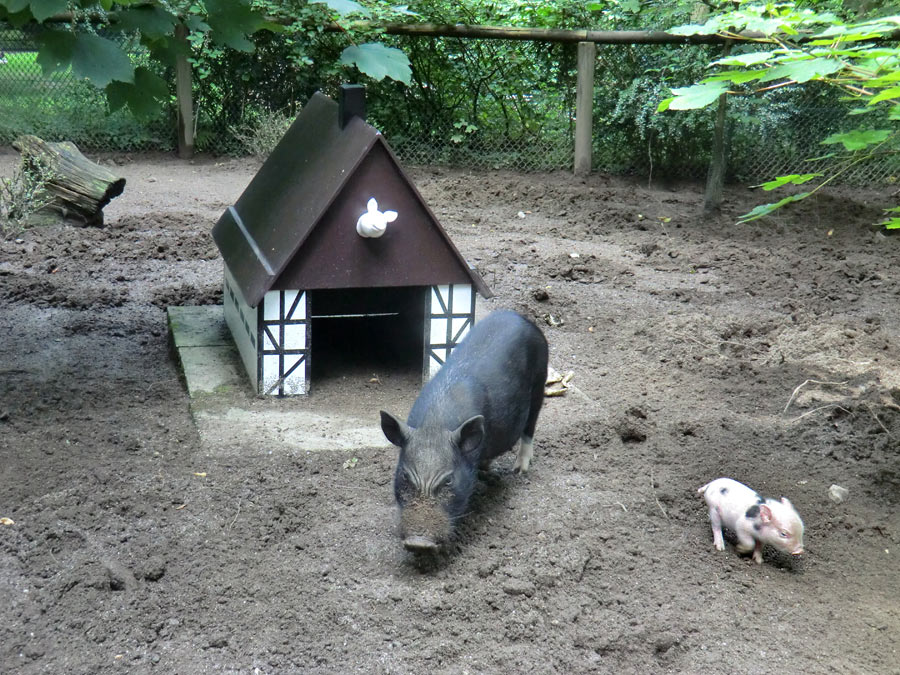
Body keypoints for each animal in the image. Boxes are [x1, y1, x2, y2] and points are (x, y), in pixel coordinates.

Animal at [380, 312, 548, 556]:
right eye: (404, 476)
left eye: (449, 480)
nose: (418, 542)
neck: (435, 425)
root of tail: (521, 317)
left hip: (540, 383)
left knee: (531, 426)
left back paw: (519, 470)